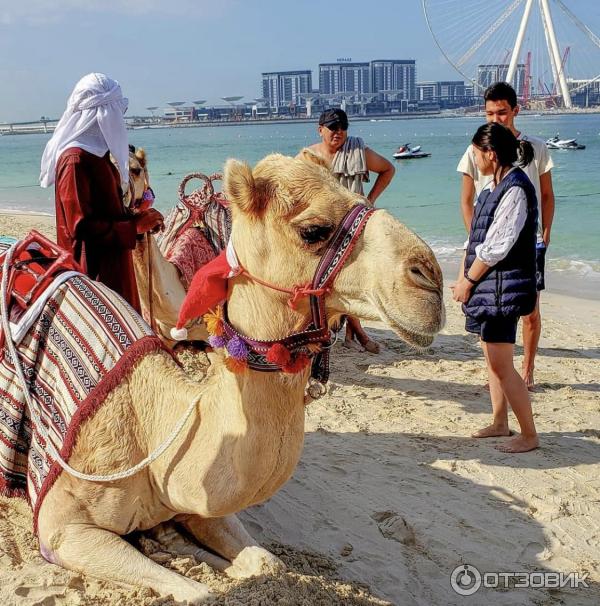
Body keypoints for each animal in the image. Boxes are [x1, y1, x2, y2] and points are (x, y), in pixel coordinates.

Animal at [31, 151, 446, 604]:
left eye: (361, 193)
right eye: (313, 231)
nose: (431, 280)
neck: (154, 433)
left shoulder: (196, 500)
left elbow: (267, 562)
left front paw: (178, 544)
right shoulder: (61, 527)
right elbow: (200, 593)